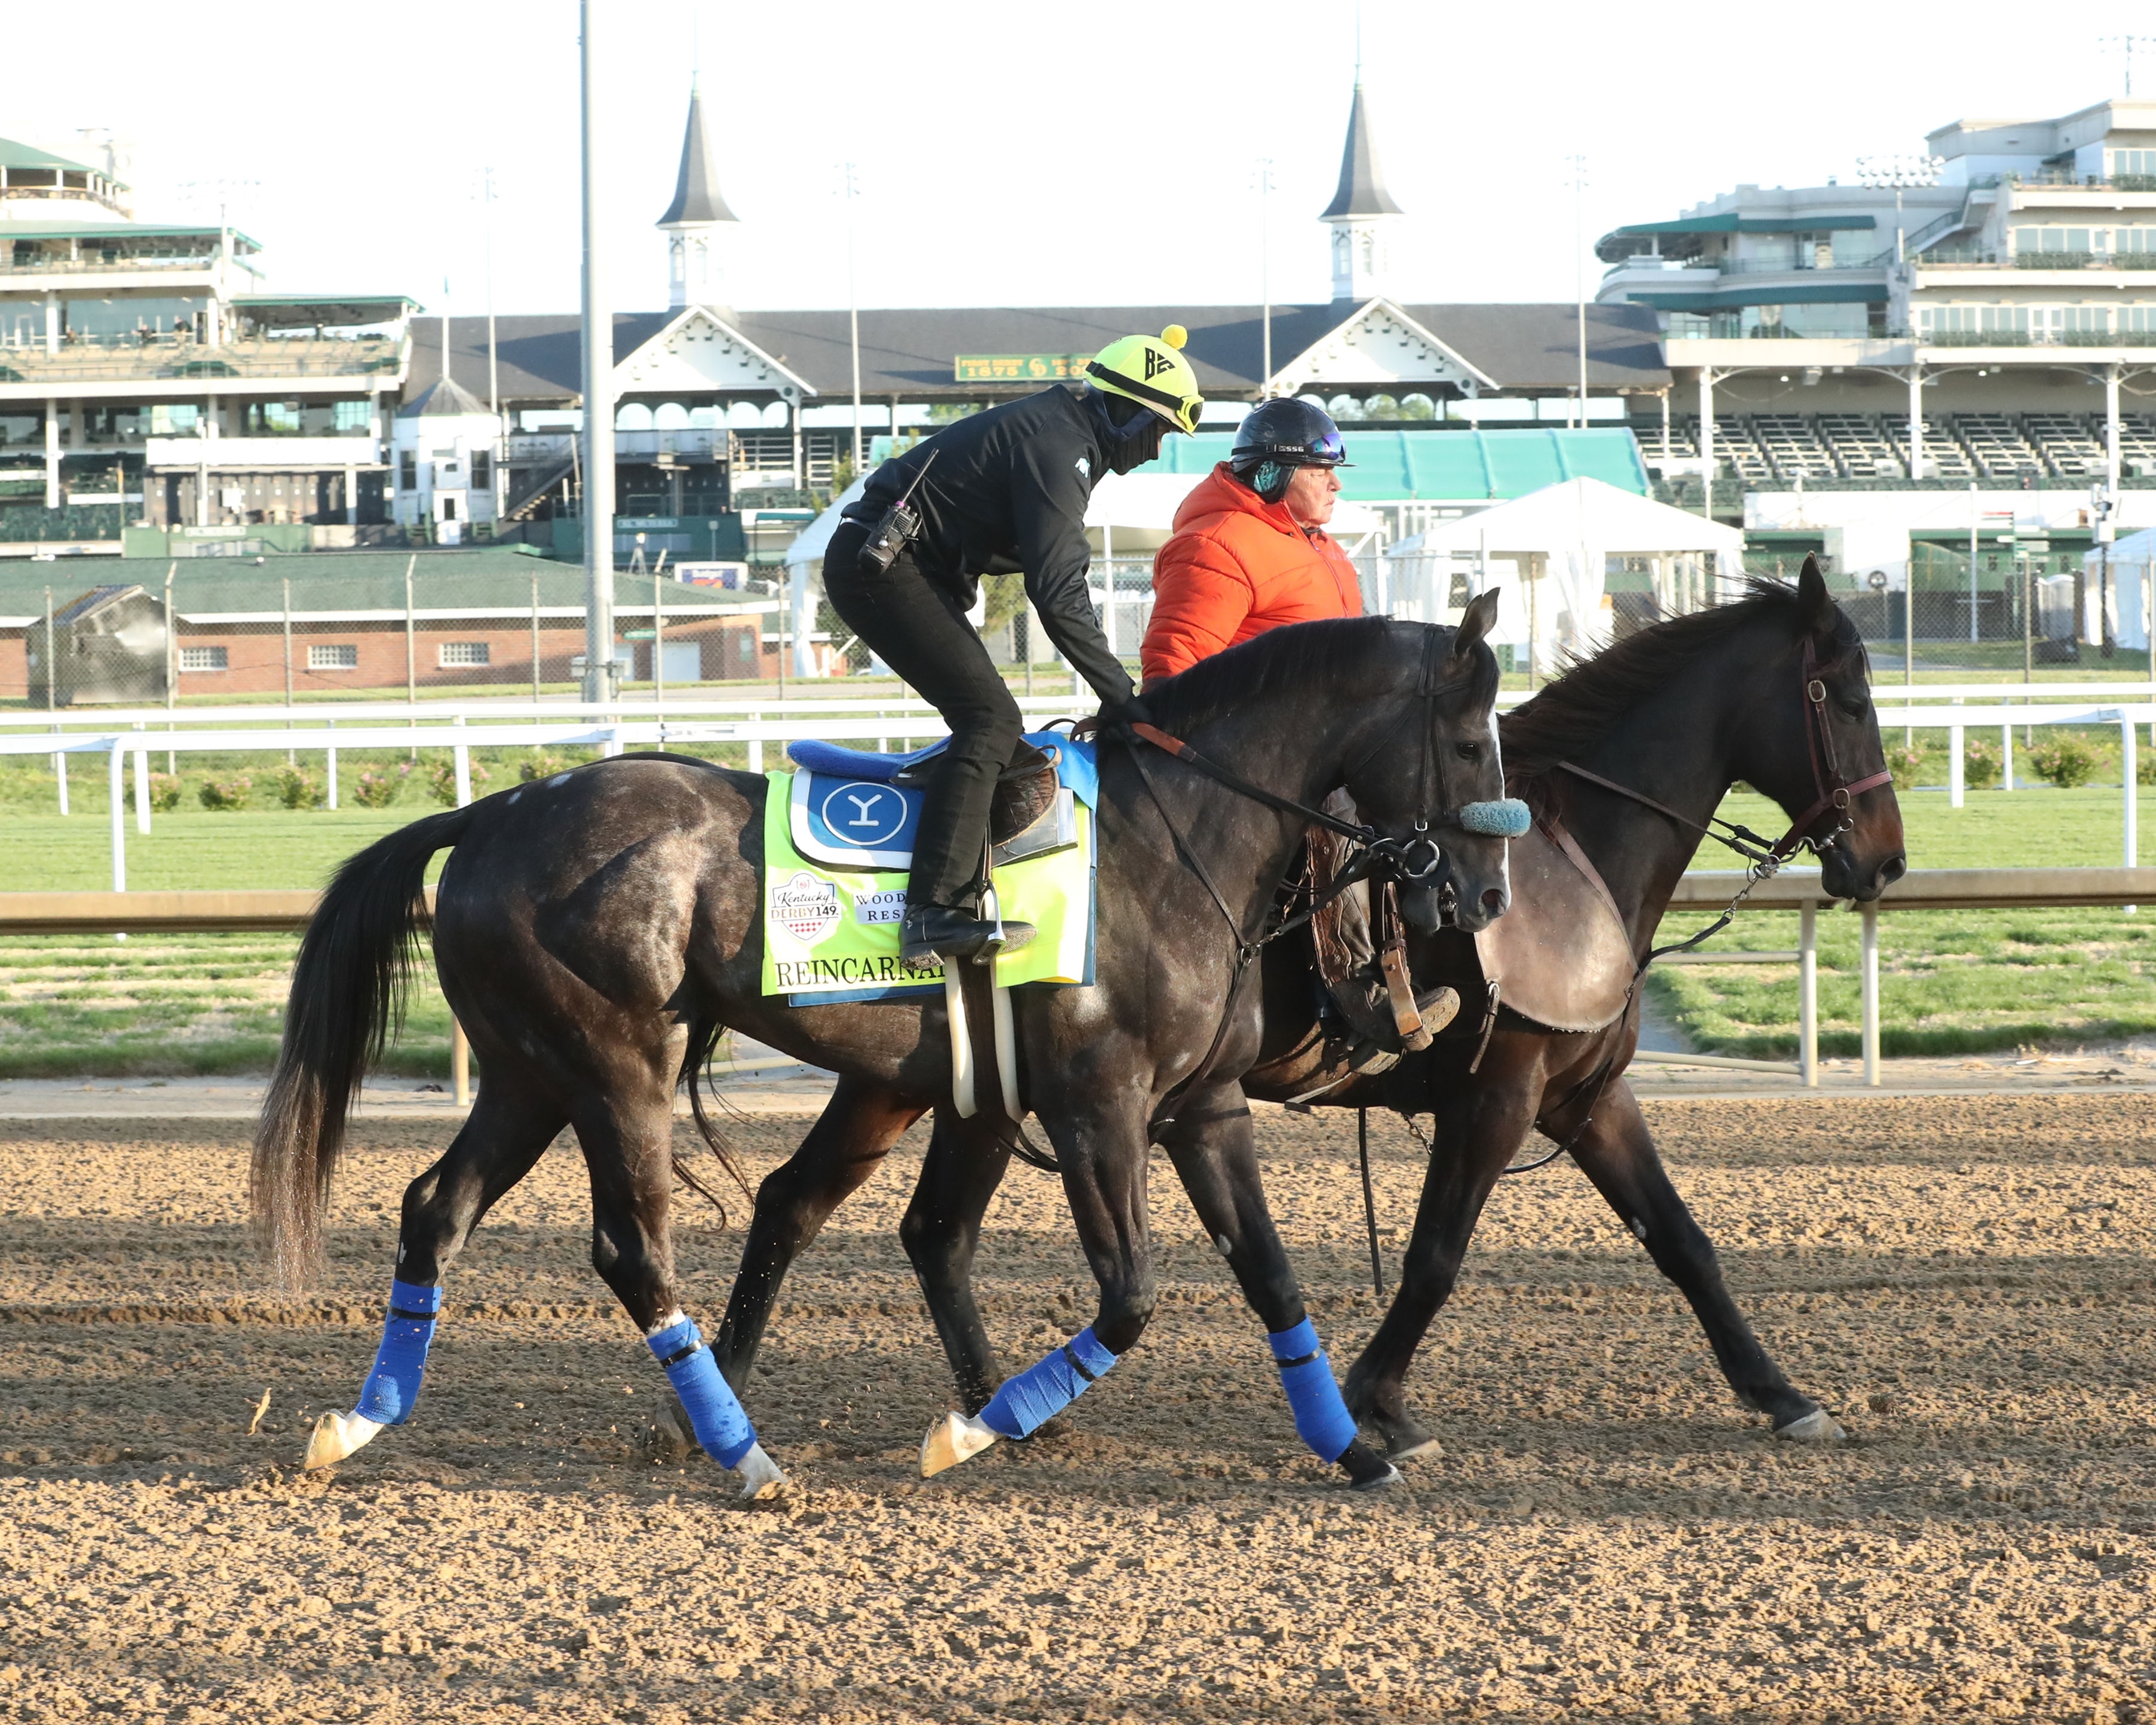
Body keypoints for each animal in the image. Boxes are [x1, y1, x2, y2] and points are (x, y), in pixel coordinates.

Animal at [256, 608, 1517, 1492]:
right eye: (1468, 740)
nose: (1490, 893)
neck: (1173, 845)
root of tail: (489, 812)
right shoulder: (1096, 1106)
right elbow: (1127, 1297)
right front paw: (971, 1428)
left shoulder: (1204, 1106)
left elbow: (1270, 1276)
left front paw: (1353, 1447)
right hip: (615, 1065)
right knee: (633, 1247)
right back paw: (746, 1456)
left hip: (532, 1073)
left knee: (438, 1207)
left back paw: (359, 1421)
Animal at [711, 560, 1906, 1466]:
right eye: (1848, 699)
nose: (1885, 861)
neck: (1572, 846)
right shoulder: (1501, 1091)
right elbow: (1435, 1254)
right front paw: (1377, 1397)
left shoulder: (1587, 1093)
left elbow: (1685, 1241)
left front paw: (1780, 1390)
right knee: (854, 1214)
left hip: (927, 1082)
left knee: (833, 1210)